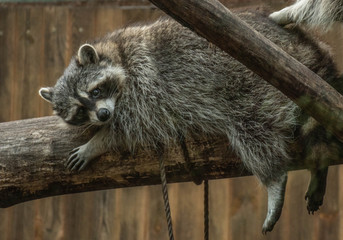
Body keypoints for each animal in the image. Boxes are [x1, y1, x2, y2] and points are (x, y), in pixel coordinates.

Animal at [38, 9, 343, 232]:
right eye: (79, 110)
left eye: (96, 91)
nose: (103, 115)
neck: (116, 51)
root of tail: (304, 46)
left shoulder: (145, 84)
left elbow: (133, 128)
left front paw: (97, 143)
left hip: (257, 83)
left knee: (252, 127)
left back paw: (273, 179)